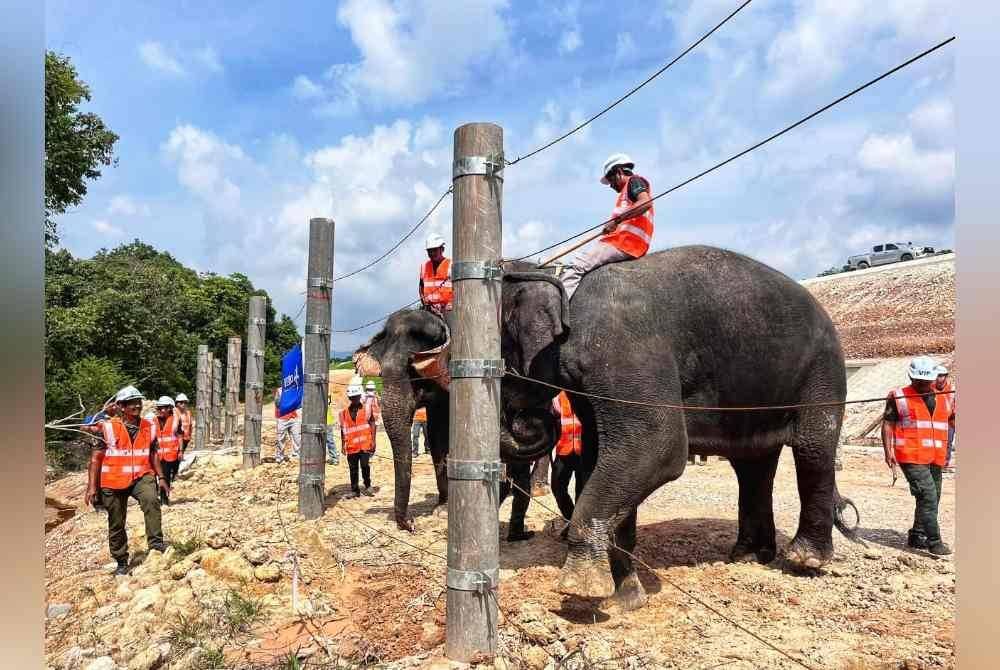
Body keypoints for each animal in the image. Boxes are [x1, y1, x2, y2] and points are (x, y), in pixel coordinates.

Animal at [500, 248, 860, 616]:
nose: (528, 419)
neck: (555, 274)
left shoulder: (624, 350)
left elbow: (658, 446)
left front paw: (580, 586)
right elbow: (601, 457)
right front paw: (624, 599)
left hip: (823, 370)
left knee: (812, 448)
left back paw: (804, 560)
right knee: (752, 465)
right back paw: (749, 555)